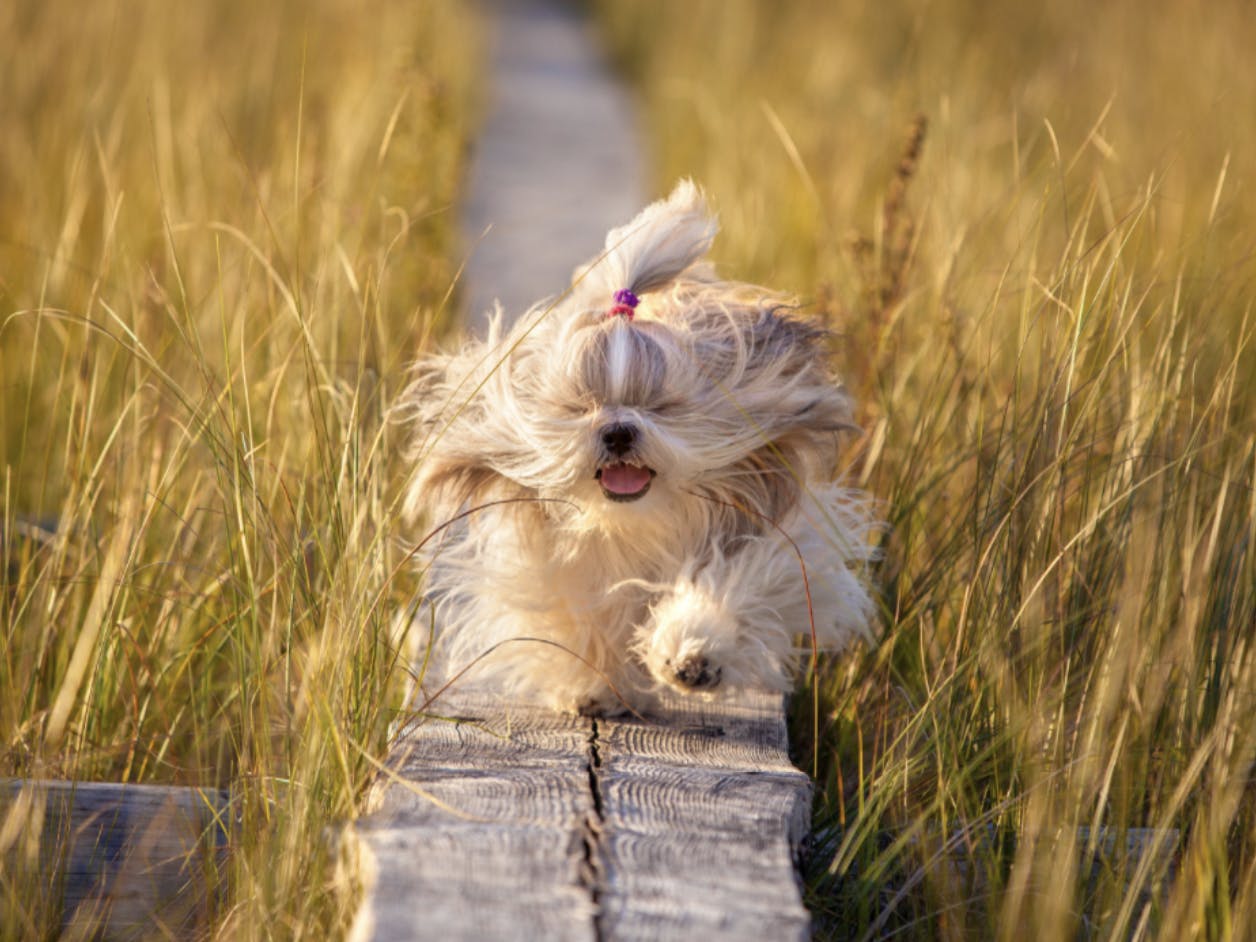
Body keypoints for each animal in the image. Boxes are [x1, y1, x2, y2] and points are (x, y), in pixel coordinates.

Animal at [396, 180, 879, 713]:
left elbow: (738, 580)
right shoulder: (556, 567)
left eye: (660, 405)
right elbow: (579, 612)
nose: (618, 431)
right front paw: (593, 686)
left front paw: (693, 654)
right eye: (581, 404)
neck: (638, 523)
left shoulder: (775, 535)